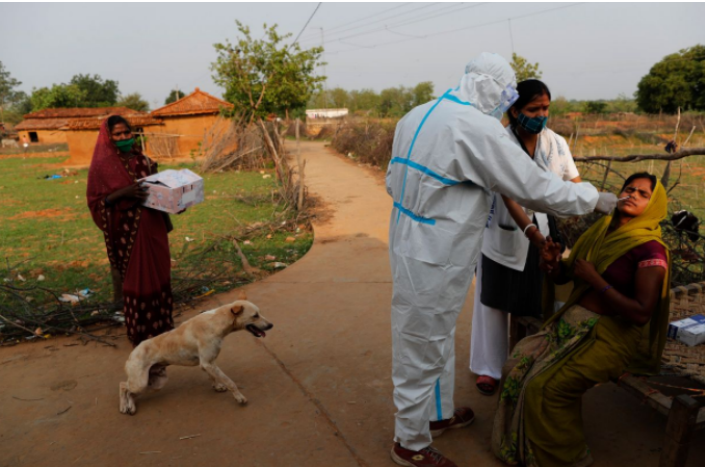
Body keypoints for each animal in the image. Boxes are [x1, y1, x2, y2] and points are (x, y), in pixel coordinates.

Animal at [118, 296, 272, 416]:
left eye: (259, 313)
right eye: (255, 315)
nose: (271, 325)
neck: (216, 322)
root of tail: (131, 354)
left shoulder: (207, 363)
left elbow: (213, 377)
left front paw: (217, 386)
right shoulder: (208, 363)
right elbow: (230, 382)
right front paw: (239, 398)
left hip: (156, 383)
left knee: (130, 391)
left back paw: (131, 406)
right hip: (141, 383)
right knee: (123, 385)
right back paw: (124, 406)